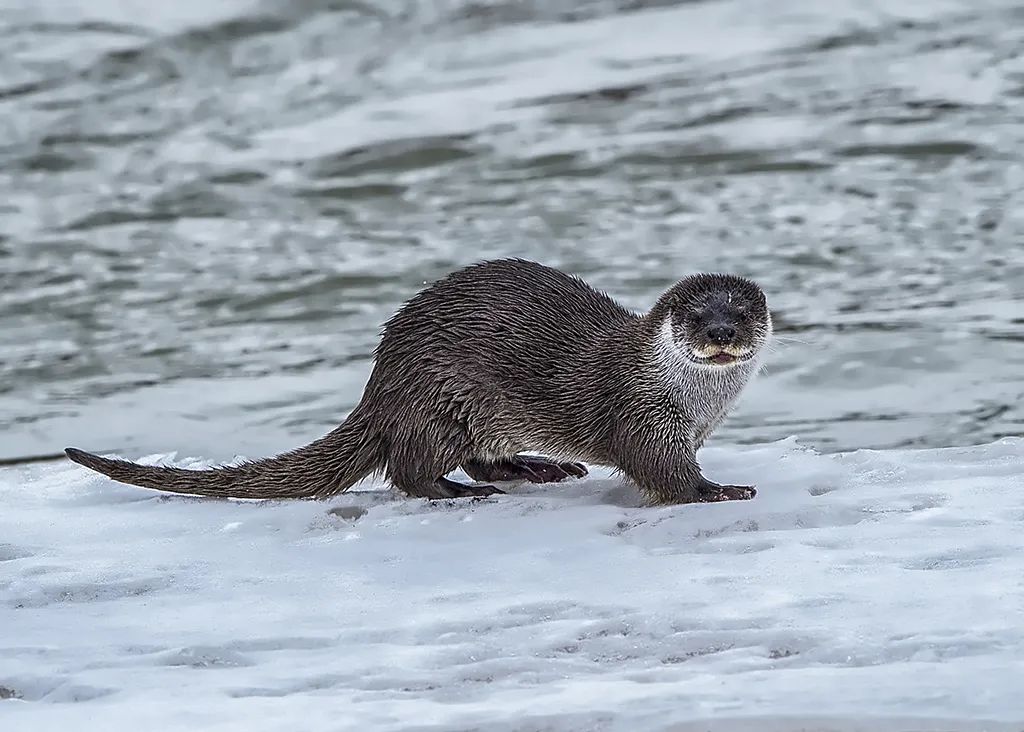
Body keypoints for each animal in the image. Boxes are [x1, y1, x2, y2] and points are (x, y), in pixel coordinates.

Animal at [64, 261, 770, 507]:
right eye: (696, 316)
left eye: (741, 313)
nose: (720, 334)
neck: (694, 401)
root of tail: (379, 384)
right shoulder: (640, 414)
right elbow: (658, 470)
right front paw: (719, 490)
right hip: (441, 400)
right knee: (408, 469)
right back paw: (457, 491)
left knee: (483, 459)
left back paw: (537, 469)